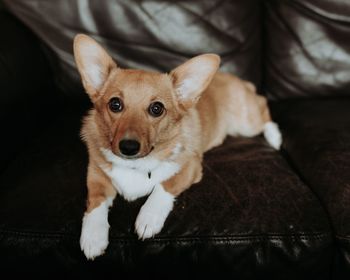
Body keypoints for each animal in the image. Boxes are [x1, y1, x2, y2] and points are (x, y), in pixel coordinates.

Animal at [73, 34, 282, 260]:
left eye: (156, 109)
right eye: (115, 104)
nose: (128, 147)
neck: (136, 165)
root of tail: (240, 81)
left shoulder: (190, 167)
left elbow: (163, 186)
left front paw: (148, 218)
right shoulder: (96, 174)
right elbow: (96, 202)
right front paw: (93, 237)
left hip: (246, 124)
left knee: (264, 110)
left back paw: (275, 138)